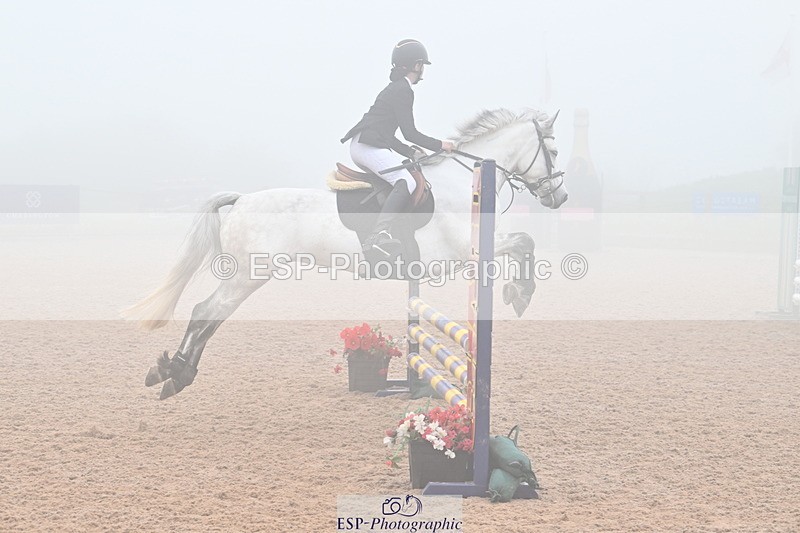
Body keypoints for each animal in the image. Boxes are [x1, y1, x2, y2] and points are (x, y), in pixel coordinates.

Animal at [124, 107, 568, 399]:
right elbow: (525, 242)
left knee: (209, 314)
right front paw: (521, 294)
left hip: (247, 274)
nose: (559, 197)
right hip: (250, 274)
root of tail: (242, 199)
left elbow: (523, 243)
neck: (463, 181)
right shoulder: (464, 252)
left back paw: (169, 373)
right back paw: (176, 374)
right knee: (207, 312)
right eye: (554, 152)